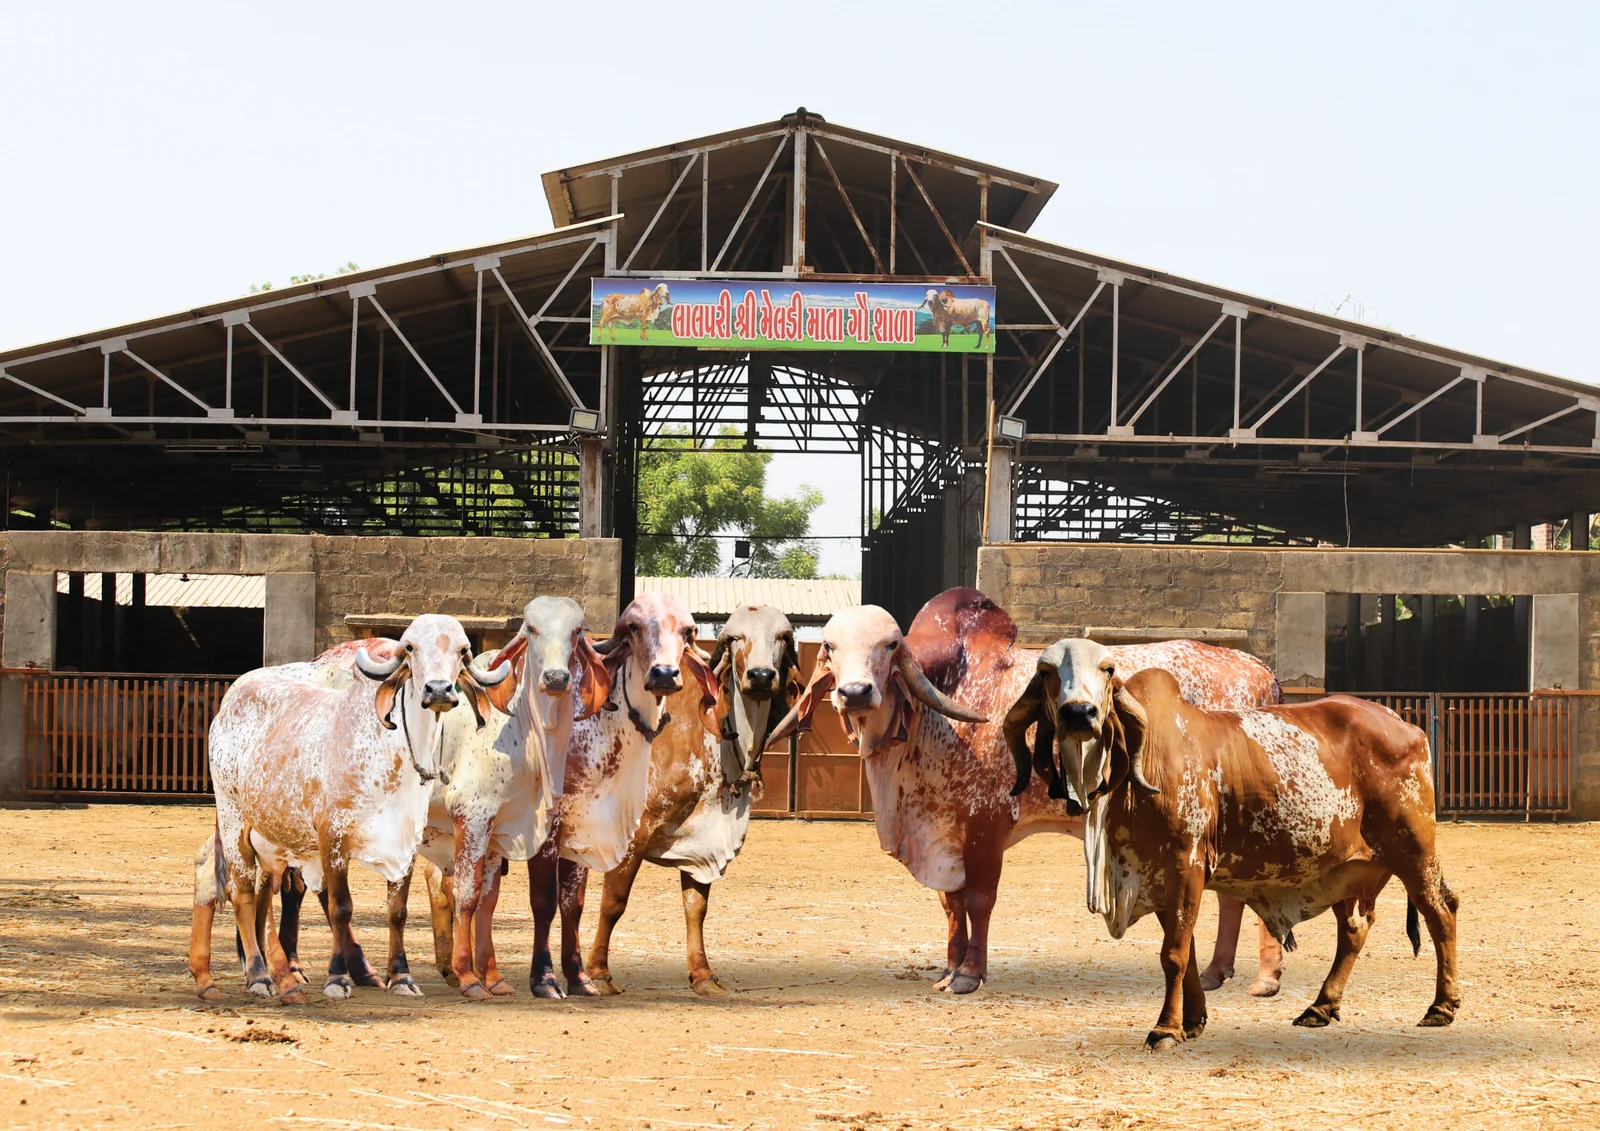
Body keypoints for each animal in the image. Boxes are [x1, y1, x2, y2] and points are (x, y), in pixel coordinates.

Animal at [187, 614, 510, 1003]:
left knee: (252, 888)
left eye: (463, 650)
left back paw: (252, 978)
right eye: (410, 648)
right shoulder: (333, 837)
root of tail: (232, 696)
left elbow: (397, 911)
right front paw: (338, 978)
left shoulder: (406, 842)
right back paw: (258, 975)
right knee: (244, 894)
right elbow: (341, 907)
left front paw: (401, 976)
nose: (438, 690)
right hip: (233, 818)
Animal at [524, 592, 722, 998]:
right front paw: (555, 979)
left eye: (687, 630)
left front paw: (580, 977)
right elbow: (559, 901)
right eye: (634, 626)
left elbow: (574, 903)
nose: (664, 675)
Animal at [574, 604, 800, 996]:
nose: (760, 675)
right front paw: (600, 973)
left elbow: (696, 906)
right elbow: (614, 903)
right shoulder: (632, 833)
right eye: (737, 637)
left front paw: (703, 974)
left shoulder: (703, 839)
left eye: (782, 637)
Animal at [766, 589, 1280, 995]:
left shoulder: (986, 827)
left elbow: (978, 901)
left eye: (890, 645)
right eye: (829, 645)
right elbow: (951, 905)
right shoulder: (945, 834)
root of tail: (1260, 670)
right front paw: (949, 969)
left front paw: (969, 974)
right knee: (1234, 894)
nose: (854, 692)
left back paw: (1265, 978)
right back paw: (1216, 972)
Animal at [1006, 637, 1460, 1049]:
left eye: (1107, 669)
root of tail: (1406, 724)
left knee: (1441, 911)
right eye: (1045, 672)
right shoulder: (1156, 876)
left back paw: (1441, 1005)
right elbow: (1185, 950)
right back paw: (1321, 1006)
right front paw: (1193, 1021)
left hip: (1413, 849)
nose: (1079, 713)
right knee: (1353, 929)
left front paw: (1165, 1029)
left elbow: (1173, 953)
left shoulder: (1185, 863)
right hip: (1347, 868)